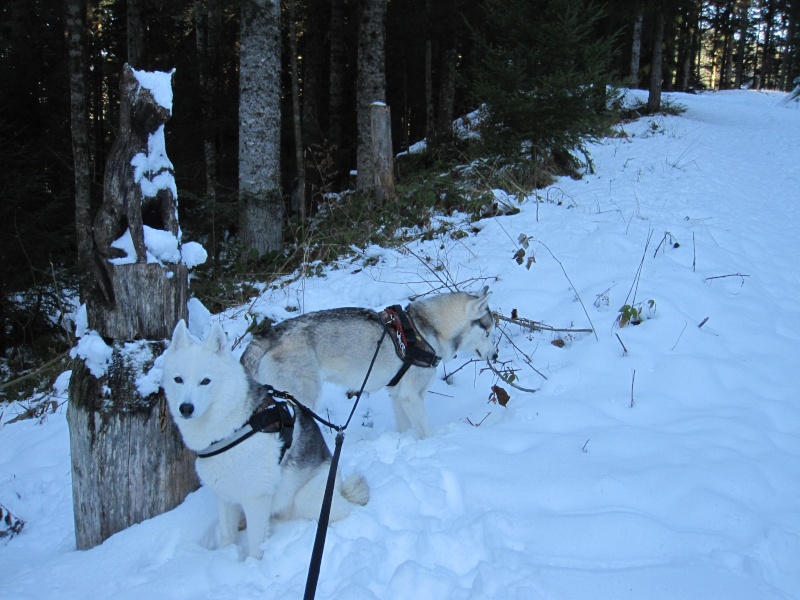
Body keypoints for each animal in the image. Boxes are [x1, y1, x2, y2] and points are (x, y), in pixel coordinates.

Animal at [162, 322, 368, 560]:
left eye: (205, 381)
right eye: (178, 379)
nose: (185, 408)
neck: (232, 427)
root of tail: (339, 485)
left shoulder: (256, 499)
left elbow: (254, 544)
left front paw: (252, 564)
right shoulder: (224, 496)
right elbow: (226, 536)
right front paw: (224, 557)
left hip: (308, 499)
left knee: (343, 512)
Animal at [241, 288, 496, 438]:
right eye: (488, 333)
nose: (495, 356)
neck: (426, 328)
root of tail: (269, 334)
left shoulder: (398, 395)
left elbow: (404, 427)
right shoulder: (412, 397)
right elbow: (427, 432)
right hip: (305, 400)